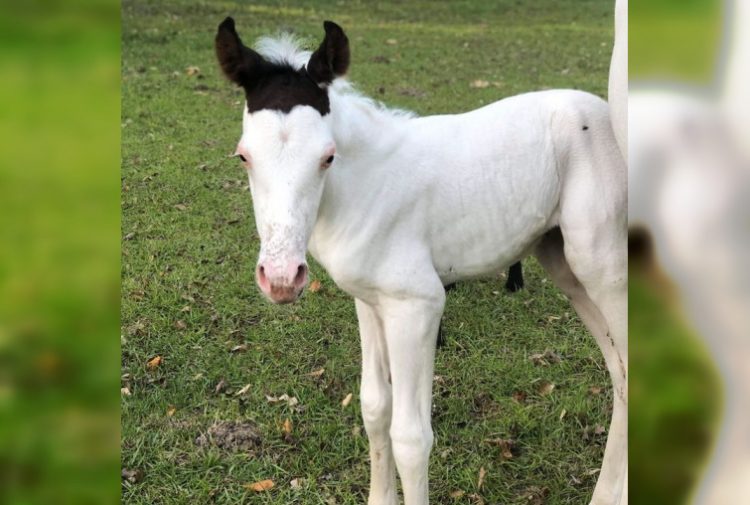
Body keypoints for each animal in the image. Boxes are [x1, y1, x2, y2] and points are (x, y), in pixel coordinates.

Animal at [216, 16, 628, 504]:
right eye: (243, 156)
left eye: (327, 156)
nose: (281, 278)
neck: (366, 186)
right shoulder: (370, 301)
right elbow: (374, 407)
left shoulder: (417, 304)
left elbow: (411, 438)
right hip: (563, 263)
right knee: (620, 372)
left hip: (603, 265)